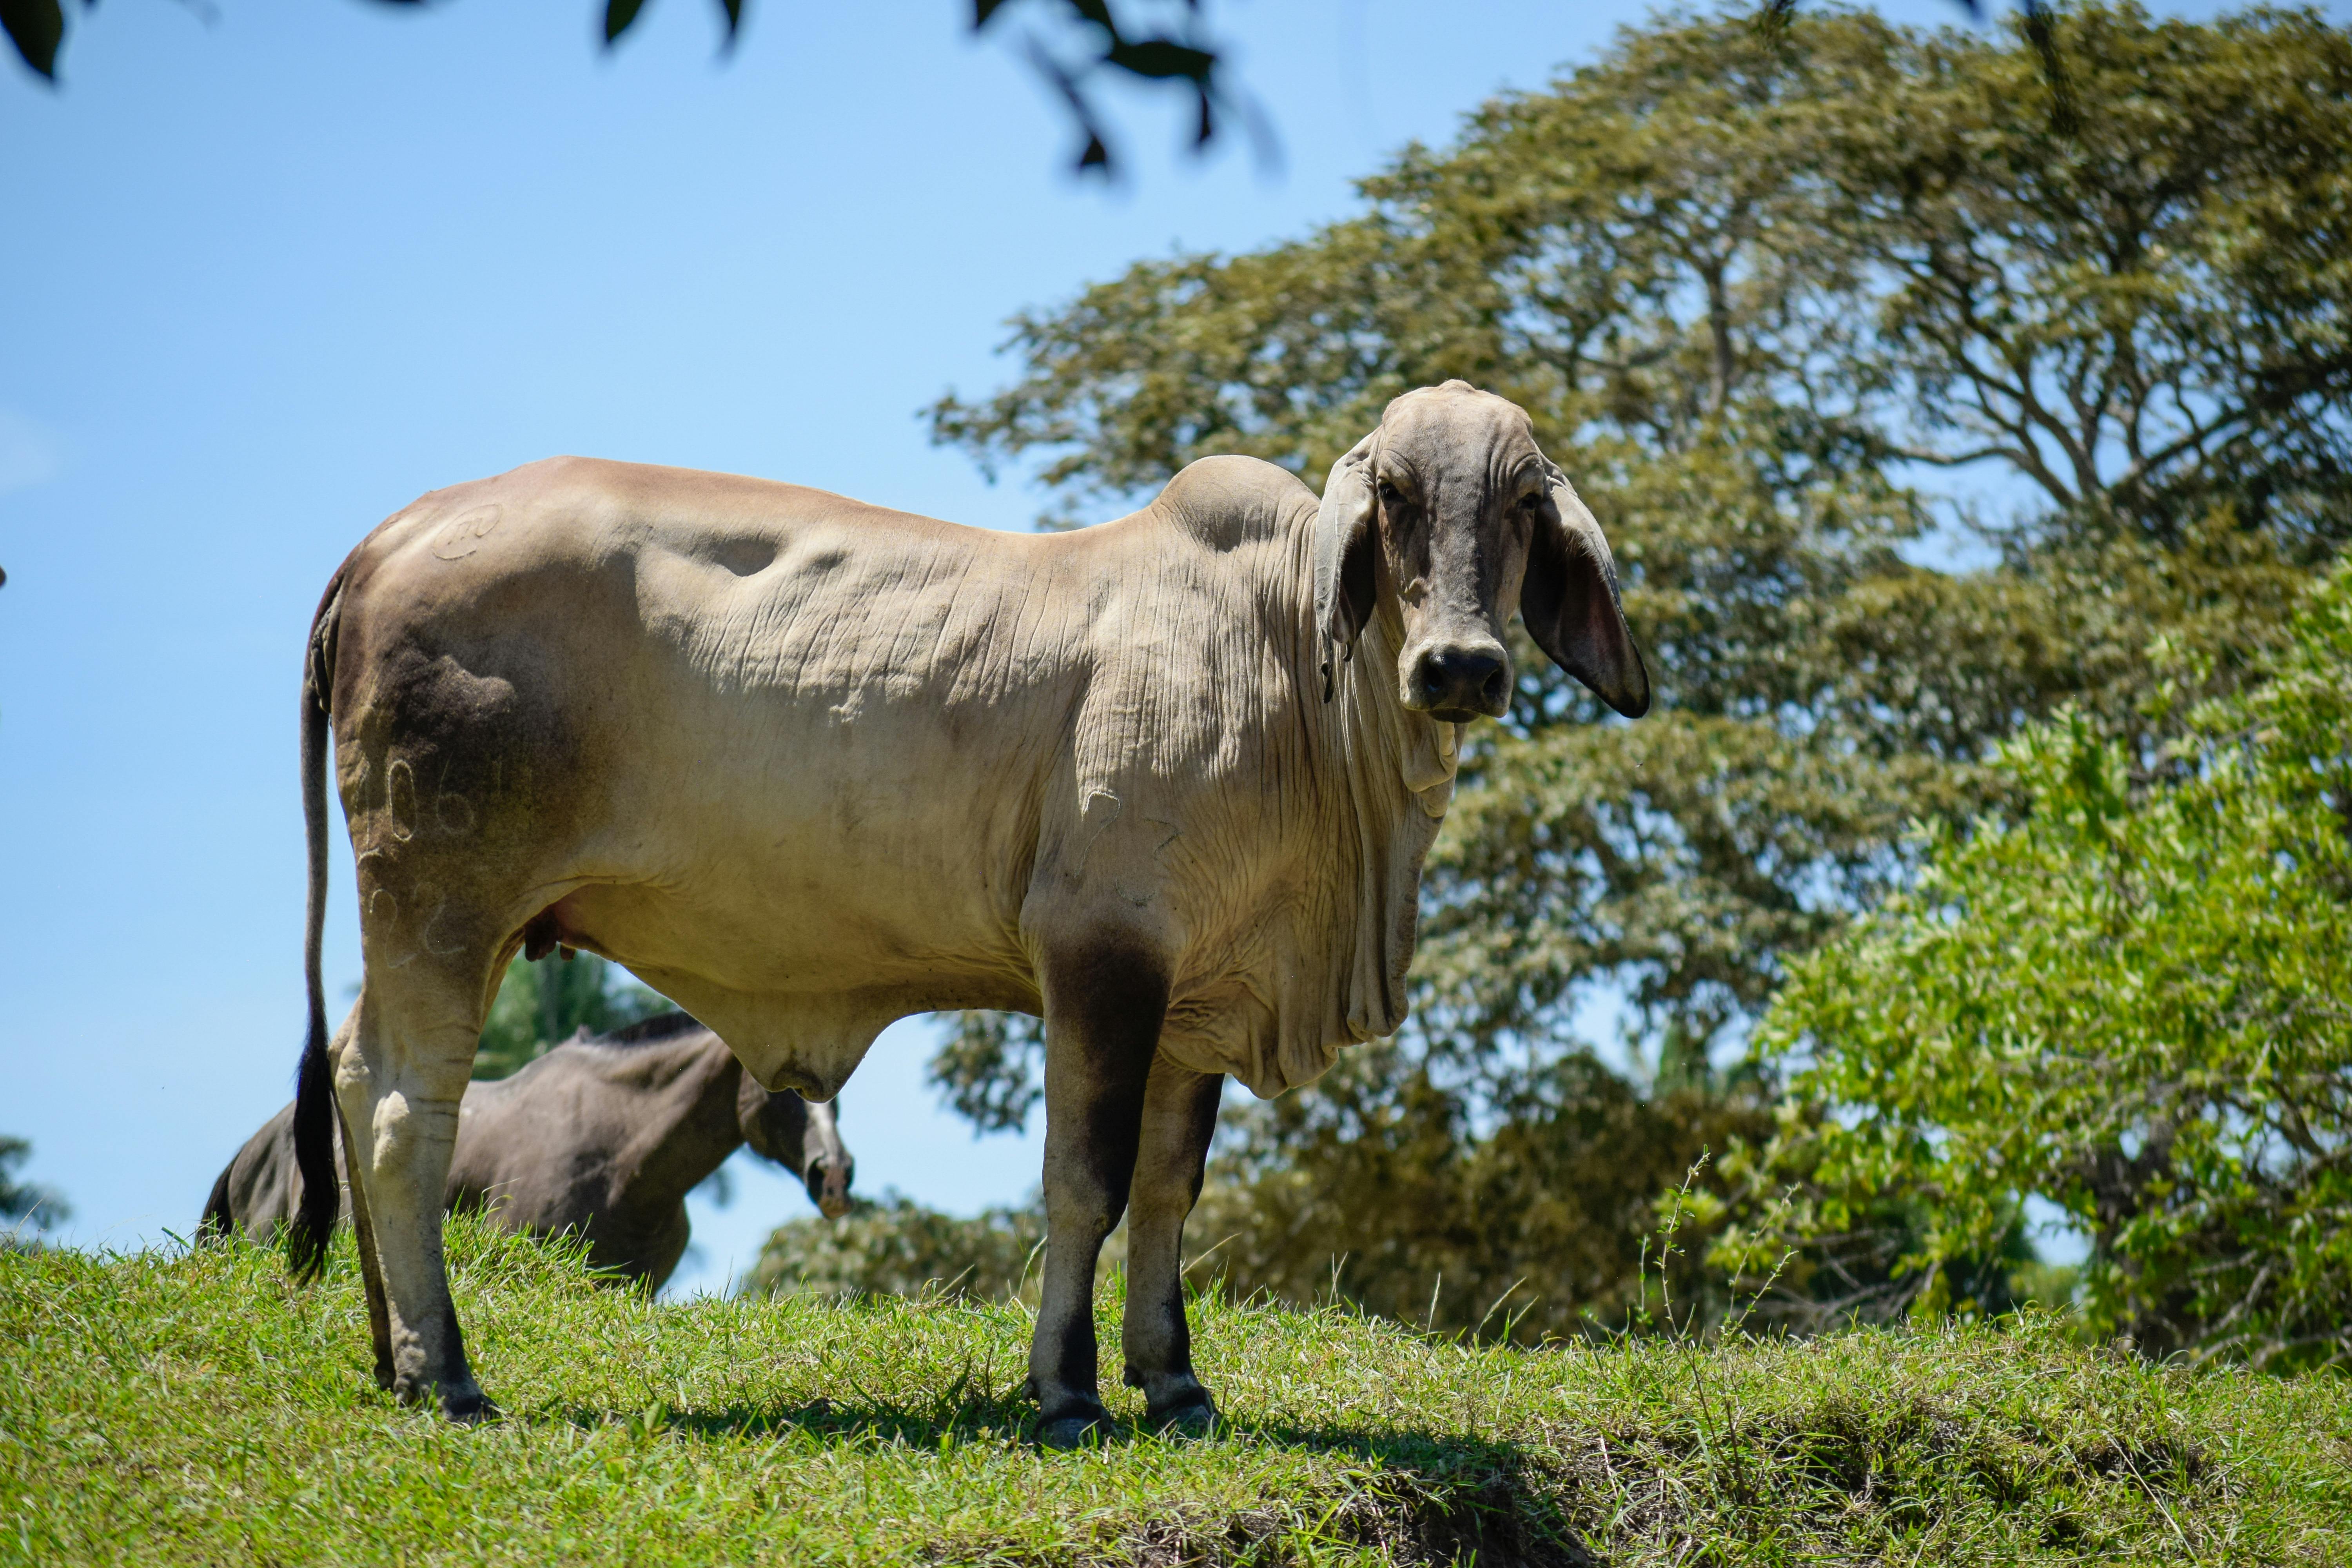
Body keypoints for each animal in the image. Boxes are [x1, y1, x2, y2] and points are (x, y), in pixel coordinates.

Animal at [285, 376, 1646, 1439]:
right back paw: (448, 1372)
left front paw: (1175, 1383)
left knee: (351, 1074)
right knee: (406, 1107)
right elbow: (1085, 1182)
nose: (1460, 666)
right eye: (1397, 498)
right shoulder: (1100, 953)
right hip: (443, 895)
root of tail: (389, 538)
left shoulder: (1195, 999)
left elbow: (1170, 1190)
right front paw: (1067, 1390)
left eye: (1524, 506)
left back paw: (389, 1354)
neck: (1282, 673)